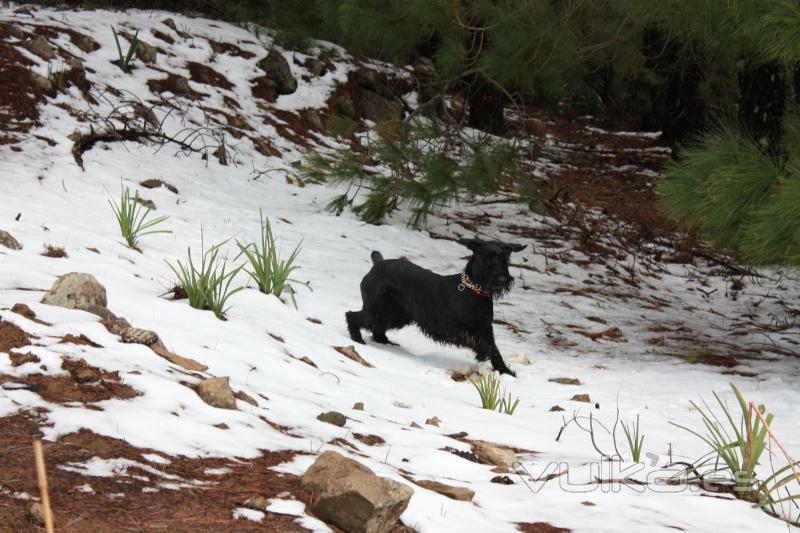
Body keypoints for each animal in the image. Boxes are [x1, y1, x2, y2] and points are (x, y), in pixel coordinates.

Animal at [344, 237, 524, 374]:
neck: (474, 291)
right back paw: (357, 338)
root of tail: (377, 264)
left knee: (377, 326)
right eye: (487, 257)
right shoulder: (450, 329)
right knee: (352, 315)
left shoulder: (485, 327)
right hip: (376, 310)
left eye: (505, 258)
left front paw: (506, 371)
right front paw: (482, 354)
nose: (502, 279)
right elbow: (480, 342)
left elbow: (494, 348)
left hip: (396, 315)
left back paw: (383, 341)